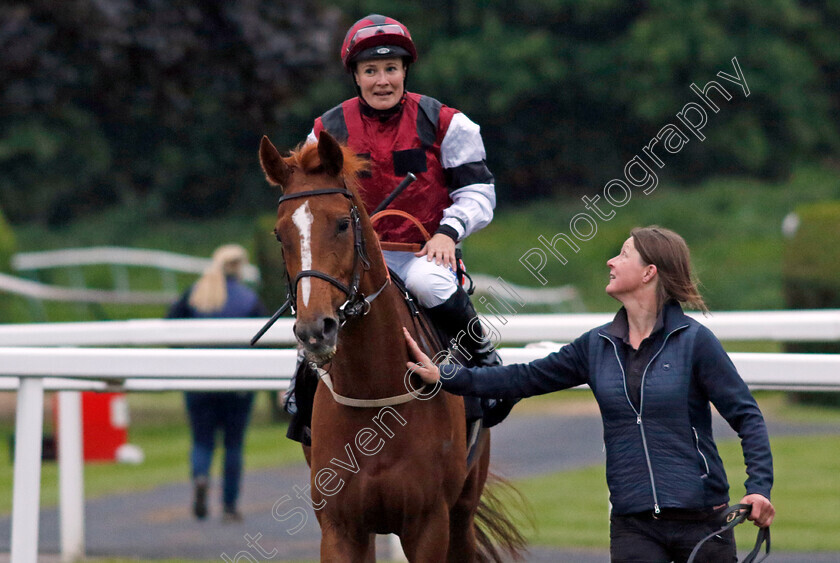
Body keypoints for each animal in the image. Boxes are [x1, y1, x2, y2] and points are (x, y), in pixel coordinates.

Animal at [258, 133, 524, 563]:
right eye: (280, 234)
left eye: (342, 223)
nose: (315, 330)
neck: (373, 395)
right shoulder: (340, 528)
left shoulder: (429, 524)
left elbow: (474, 186)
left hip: (463, 507)